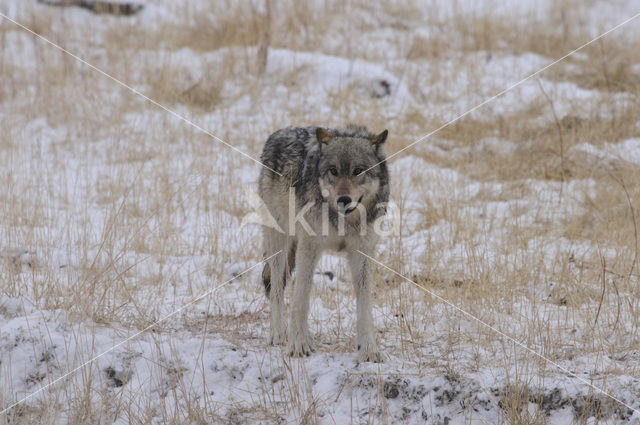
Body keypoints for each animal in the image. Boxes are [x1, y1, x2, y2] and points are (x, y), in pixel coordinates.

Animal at [256, 123, 390, 362]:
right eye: (333, 171)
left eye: (358, 171)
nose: (343, 199)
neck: (344, 221)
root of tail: (278, 133)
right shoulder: (309, 249)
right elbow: (300, 299)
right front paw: (298, 345)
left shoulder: (362, 253)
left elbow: (365, 306)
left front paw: (368, 349)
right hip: (279, 242)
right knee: (277, 288)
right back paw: (279, 333)